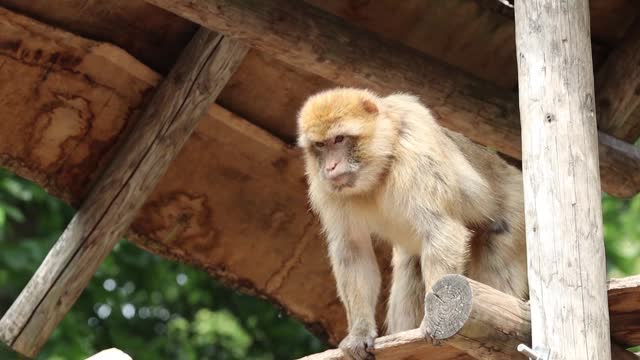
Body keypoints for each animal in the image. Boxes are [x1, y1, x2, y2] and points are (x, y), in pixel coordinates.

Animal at [298, 88, 528, 360]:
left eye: (339, 139)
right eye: (320, 145)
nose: (330, 167)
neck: (380, 167)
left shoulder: (415, 152)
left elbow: (440, 229)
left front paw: (432, 321)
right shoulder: (327, 188)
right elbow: (352, 249)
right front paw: (359, 332)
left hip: (516, 212)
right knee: (411, 267)